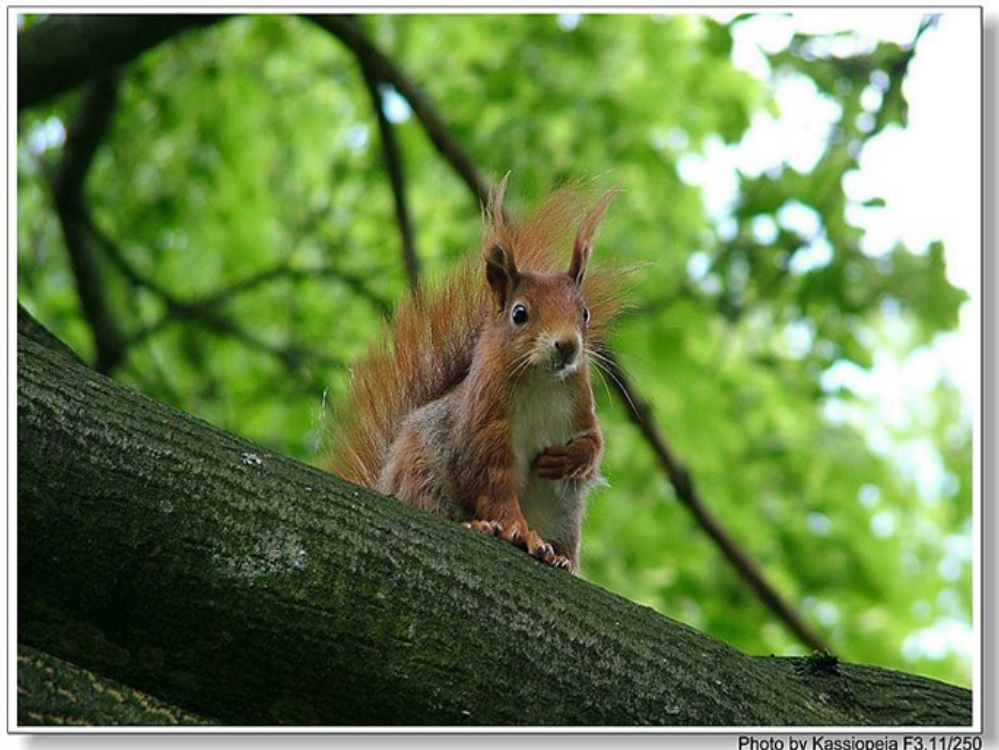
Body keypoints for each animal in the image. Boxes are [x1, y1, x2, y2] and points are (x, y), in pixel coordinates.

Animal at [328, 178, 624, 576]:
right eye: (519, 313)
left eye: (585, 313)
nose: (567, 345)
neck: (541, 383)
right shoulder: (483, 429)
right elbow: (493, 486)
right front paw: (519, 533)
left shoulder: (580, 408)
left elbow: (594, 443)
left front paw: (569, 459)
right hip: (421, 473)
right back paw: (480, 526)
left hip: (565, 516)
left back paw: (561, 558)